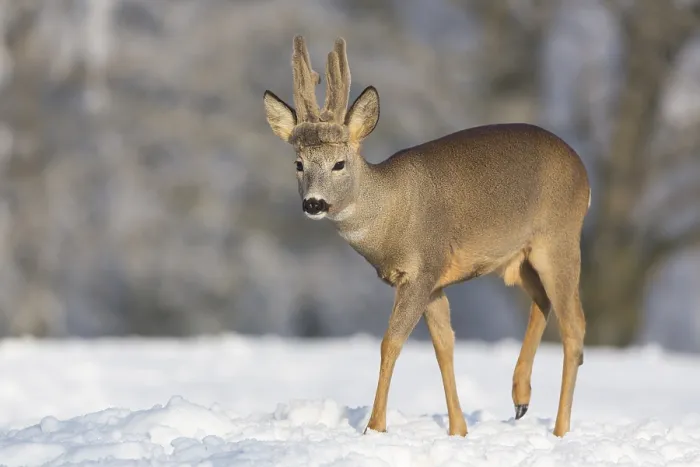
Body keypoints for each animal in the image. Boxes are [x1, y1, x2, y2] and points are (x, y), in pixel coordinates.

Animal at [262, 36, 590, 438]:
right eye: (299, 164)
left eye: (339, 164)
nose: (313, 203)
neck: (390, 215)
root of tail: (583, 171)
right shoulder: (435, 281)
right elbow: (444, 346)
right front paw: (459, 430)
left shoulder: (422, 269)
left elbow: (391, 342)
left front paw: (375, 427)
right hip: (523, 256)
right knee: (544, 302)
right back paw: (520, 398)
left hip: (559, 237)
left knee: (575, 328)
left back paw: (560, 430)